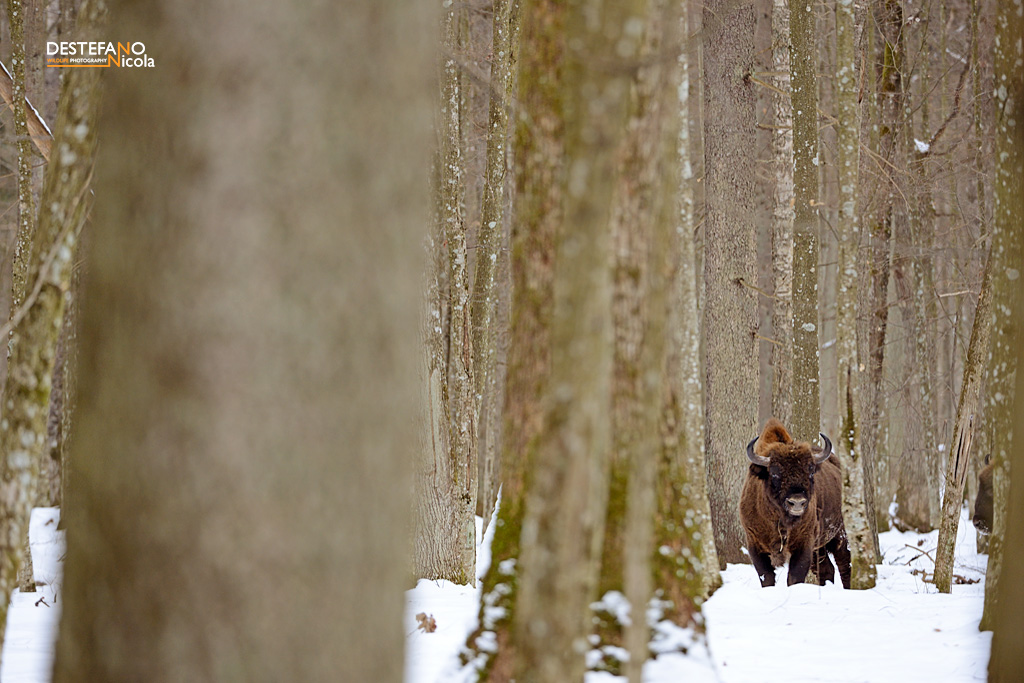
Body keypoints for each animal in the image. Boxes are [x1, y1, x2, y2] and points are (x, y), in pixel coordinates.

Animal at [739, 418, 852, 588]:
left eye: (810, 470)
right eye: (774, 473)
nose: (797, 502)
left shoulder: (803, 545)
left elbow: (794, 577)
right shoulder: (755, 544)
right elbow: (766, 577)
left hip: (839, 535)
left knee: (844, 564)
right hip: (820, 547)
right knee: (827, 569)